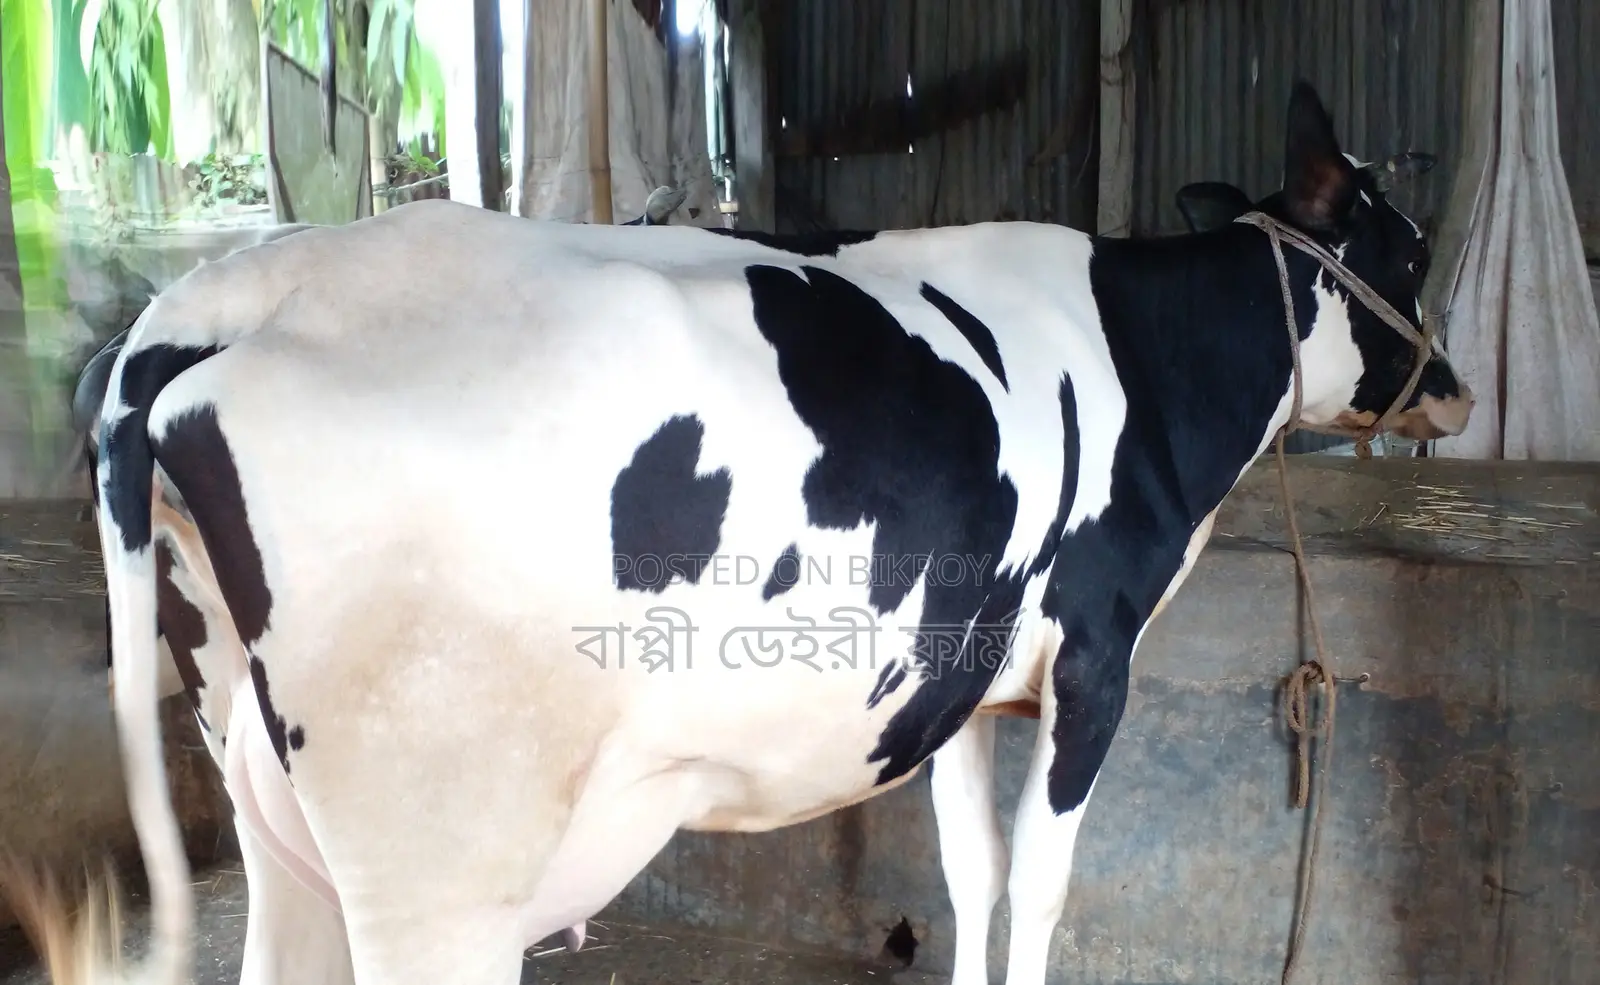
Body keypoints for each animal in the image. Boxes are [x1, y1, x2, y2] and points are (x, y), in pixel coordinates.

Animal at [9, 81, 1471, 985]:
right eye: (1406, 256)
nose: (1453, 390)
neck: (1146, 357)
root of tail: (237, 295)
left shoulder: (955, 674)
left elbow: (972, 871)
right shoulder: (1096, 664)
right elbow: (1044, 885)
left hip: (260, 782)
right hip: (437, 854)